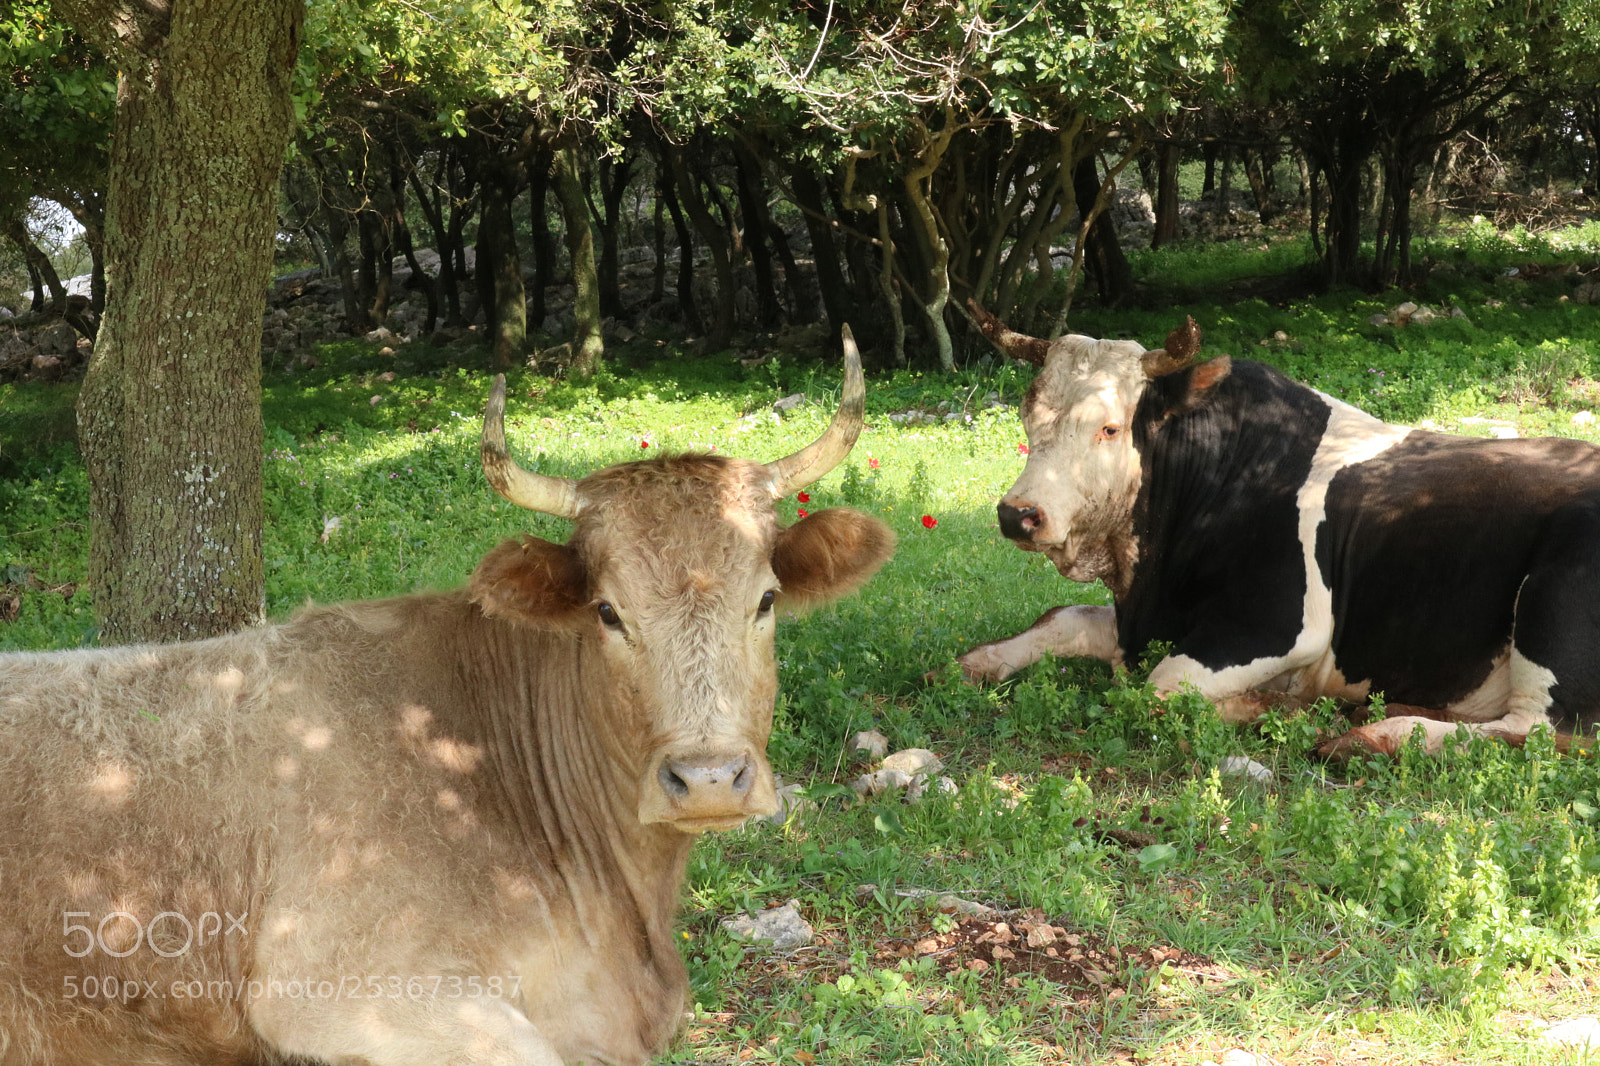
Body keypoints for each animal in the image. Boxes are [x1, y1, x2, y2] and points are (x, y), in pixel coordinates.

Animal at [956, 301, 1600, 758]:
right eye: (1028, 415)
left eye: (1110, 428)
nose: (1019, 513)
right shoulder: (1149, 619)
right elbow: (1061, 620)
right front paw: (975, 664)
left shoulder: (1277, 626)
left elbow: (1158, 691)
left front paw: (1280, 707)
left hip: (1557, 592)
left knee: (1540, 731)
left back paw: (1370, 734)